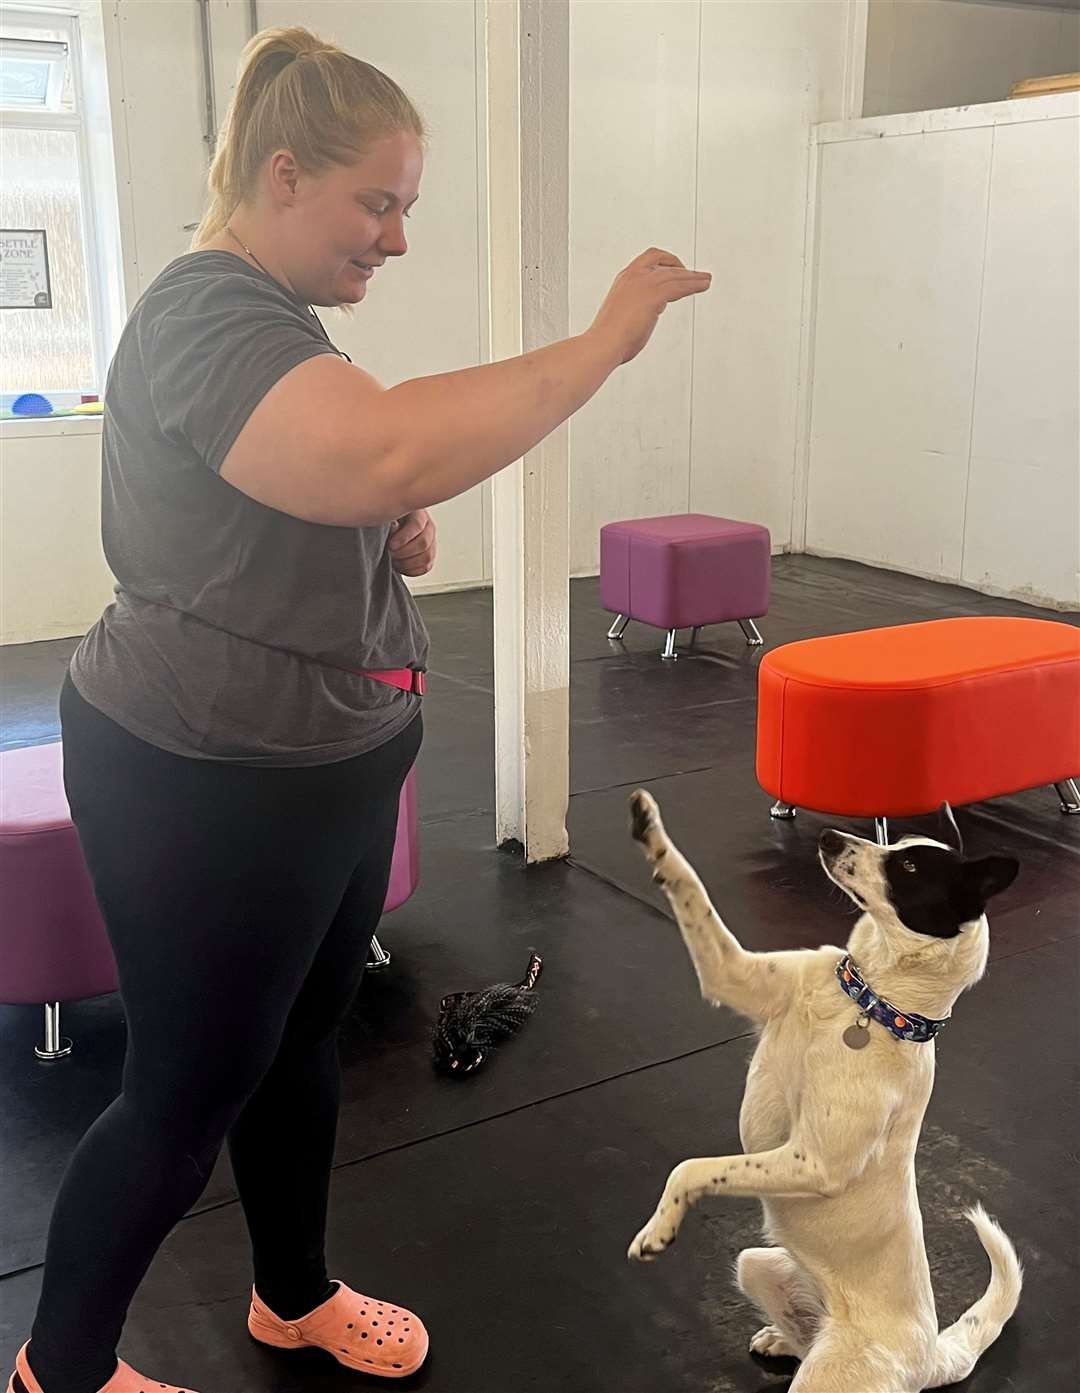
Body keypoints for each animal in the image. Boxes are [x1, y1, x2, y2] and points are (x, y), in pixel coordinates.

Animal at [624, 791, 1020, 1387]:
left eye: (908, 867)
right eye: (900, 843)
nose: (830, 837)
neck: (868, 1004)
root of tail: (932, 1355)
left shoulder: (813, 1163)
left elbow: (690, 1169)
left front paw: (659, 1228)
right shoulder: (731, 971)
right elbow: (690, 887)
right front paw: (649, 828)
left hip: (828, 1374)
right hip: (758, 1264)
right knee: (797, 1335)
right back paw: (778, 1337)